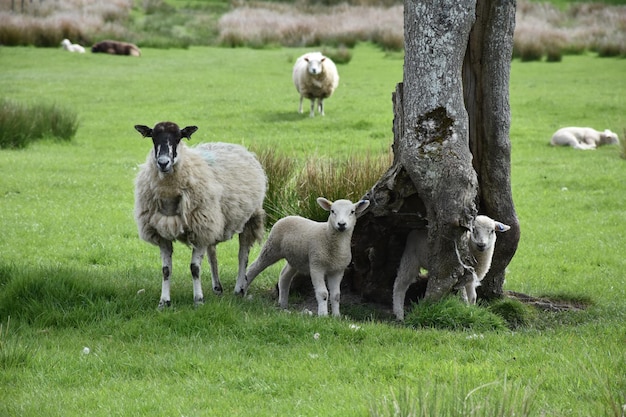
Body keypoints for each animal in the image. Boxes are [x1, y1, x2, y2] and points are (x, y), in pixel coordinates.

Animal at [134, 120, 266, 306]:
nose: (163, 163)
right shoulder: (162, 232)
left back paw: (239, 289)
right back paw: (217, 288)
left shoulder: (200, 229)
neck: (169, 196)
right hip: (213, 220)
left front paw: (198, 299)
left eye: (178, 137)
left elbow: (194, 268)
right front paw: (164, 301)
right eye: (153, 137)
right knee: (213, 255)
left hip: (248, 218)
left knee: (243, 255)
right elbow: (166, 270)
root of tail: (235, 146)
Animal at [235, 197, 370, 316]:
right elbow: (323, 293)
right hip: (272, 247)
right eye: (332, 211)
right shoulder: (316, 266)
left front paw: (337, 316)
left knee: (284, 276)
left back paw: (283, 304)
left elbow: (336, 295)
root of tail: (287, 216)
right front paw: (323, 315)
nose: (341, 224)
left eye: (352, 212)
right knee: (254, 267)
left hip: (295, 258)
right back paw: (242, 291)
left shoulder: (337, 270)